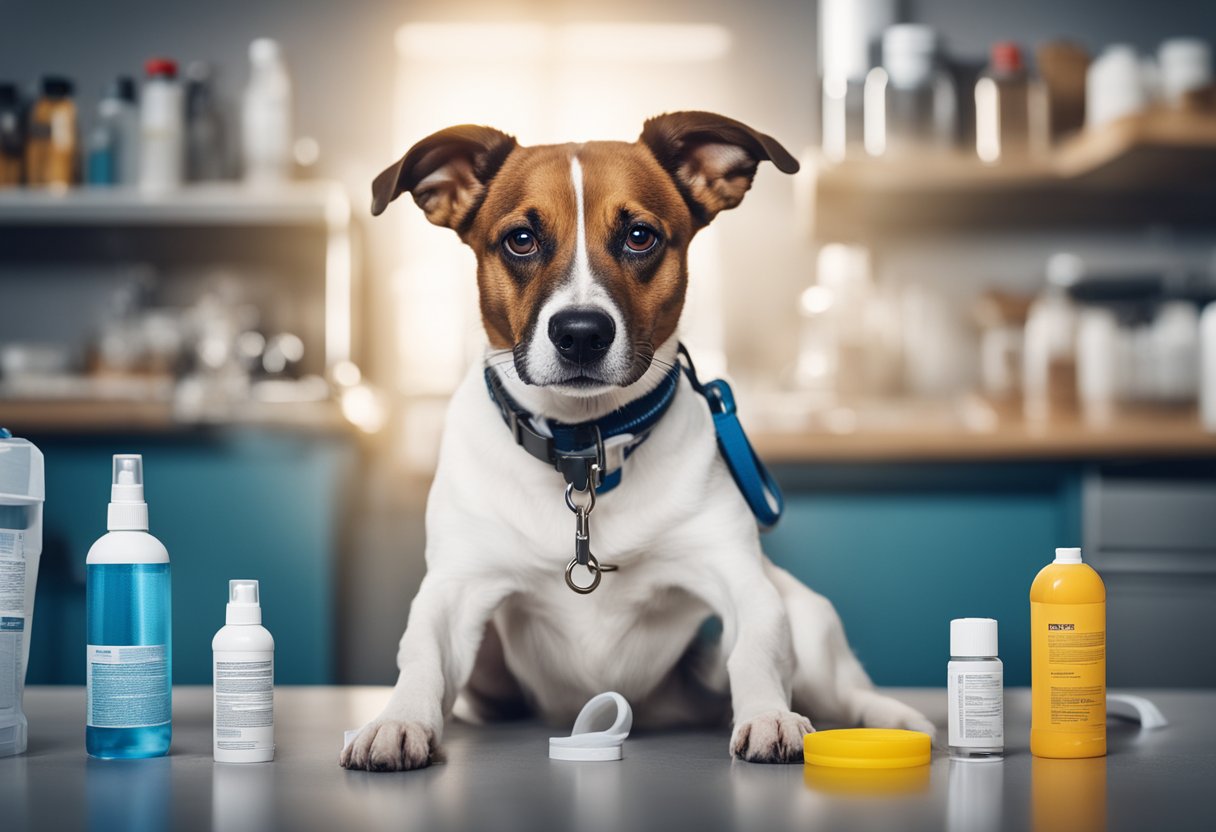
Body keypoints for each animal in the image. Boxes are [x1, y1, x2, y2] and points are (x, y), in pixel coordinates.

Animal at [340, 111, 929, 773]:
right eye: (521, 239)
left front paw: (769, 715)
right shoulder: (455, 588)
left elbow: (755, 648)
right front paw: (396, 721)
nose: (580, 333)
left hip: (805, 611)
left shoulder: (740, 578)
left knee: (846, 687)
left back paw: (893, 718)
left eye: (640, 236)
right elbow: (421, 654)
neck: (583, 449)